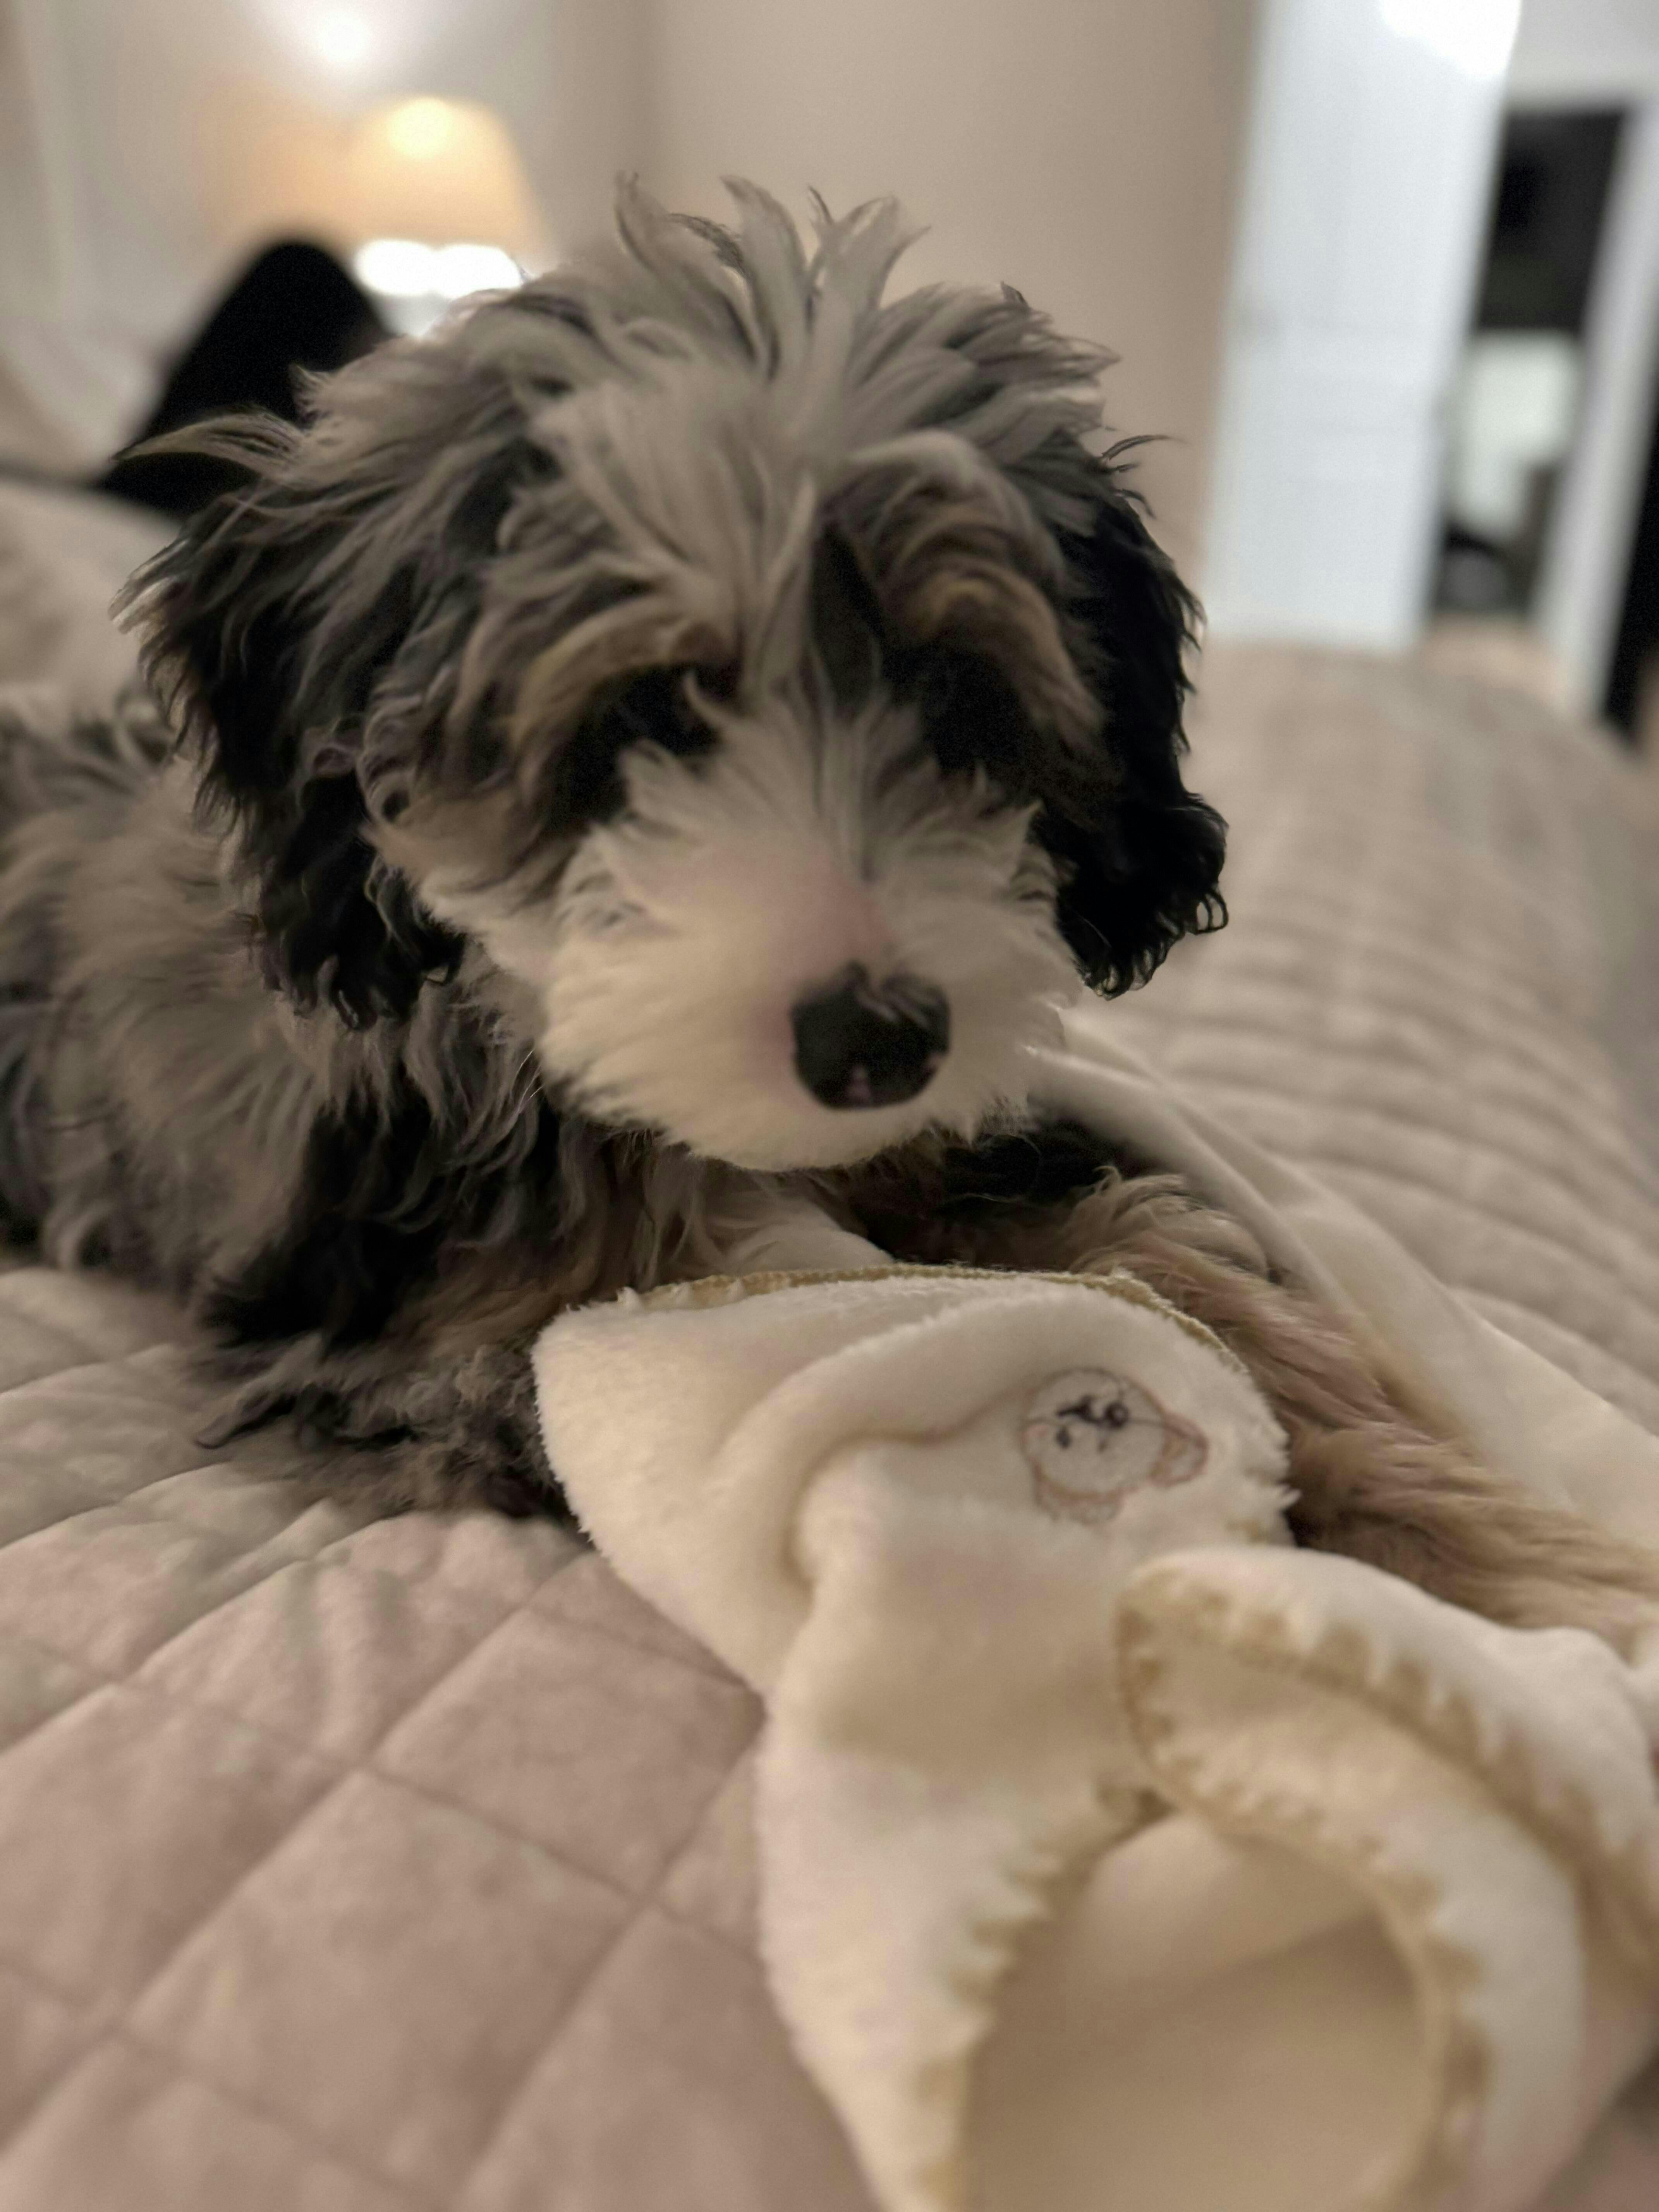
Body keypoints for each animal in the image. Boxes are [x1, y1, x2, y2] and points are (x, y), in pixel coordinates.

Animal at [3, 182, 1655, 1651]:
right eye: (644, 719)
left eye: (955, 698)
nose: (876, 1044)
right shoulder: (436, 1355)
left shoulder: (941, 1151)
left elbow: (1165, 1276)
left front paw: (1486, 1560)